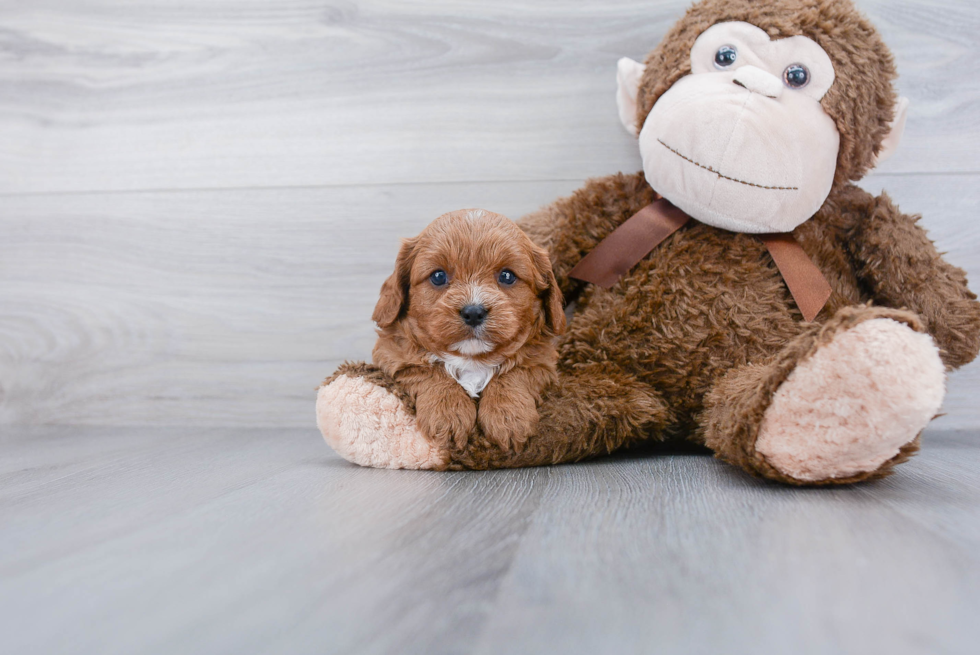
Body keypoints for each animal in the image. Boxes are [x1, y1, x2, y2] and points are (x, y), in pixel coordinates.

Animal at [370, 209, 568, 452]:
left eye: (507, 276)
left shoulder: (542, 360)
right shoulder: (393, 353)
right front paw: (447, 413)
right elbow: (429, 368)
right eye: (438, 276)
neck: (472, 359)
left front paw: (508, 416)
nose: (473, 312)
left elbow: (513, 372)